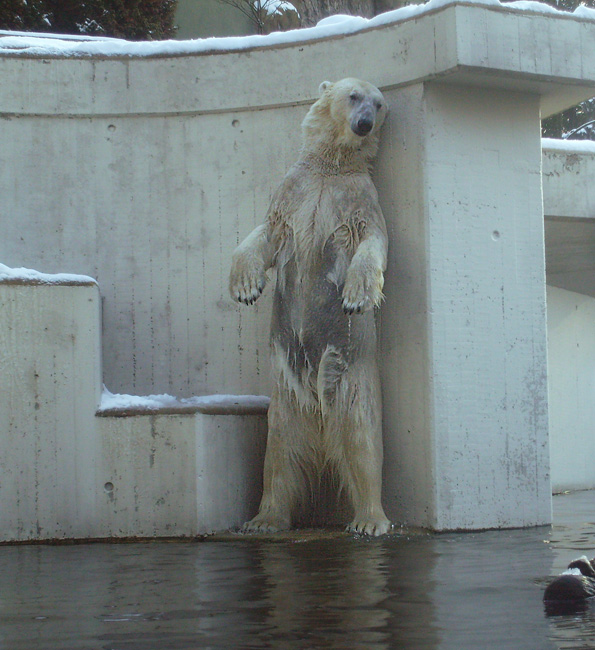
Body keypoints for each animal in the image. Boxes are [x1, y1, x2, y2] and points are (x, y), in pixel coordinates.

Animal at [228, 78, 392, 536]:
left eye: (379, 104)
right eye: (354, 96)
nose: (364, 123)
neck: (330, 169)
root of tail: (320, 424)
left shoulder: (361, 199)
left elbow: (374, 243)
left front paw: (355, 296)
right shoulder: (293, 191)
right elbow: (264, 233)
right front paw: (246, 287)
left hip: (353, 382)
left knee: (362, 442)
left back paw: (369, 520)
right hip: (285, 399)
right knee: (279, 456)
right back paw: (264, 519)